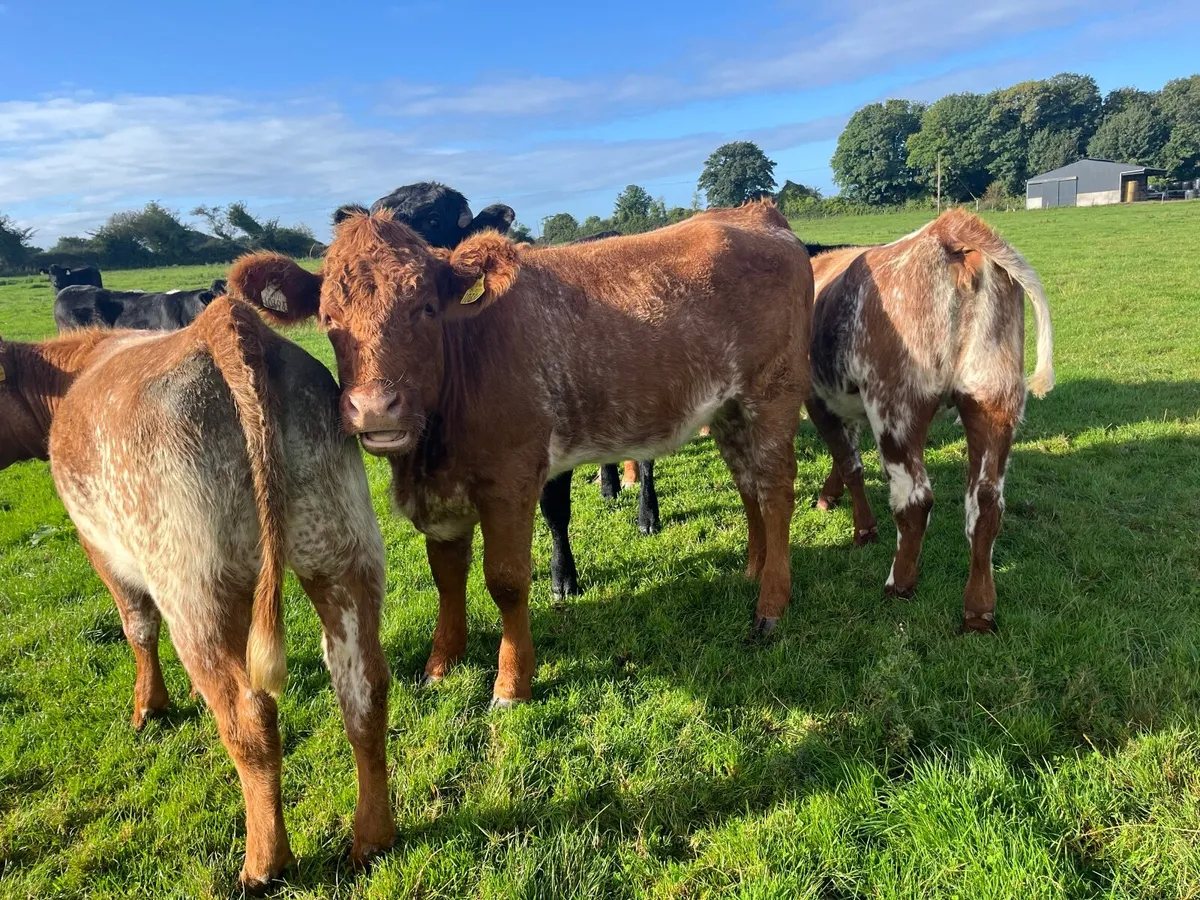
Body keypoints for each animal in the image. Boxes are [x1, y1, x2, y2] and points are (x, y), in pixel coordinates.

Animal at [0, 297, 395, 888]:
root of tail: (223, 324)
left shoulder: (101, 548)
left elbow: (137, 627)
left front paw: (150, 706)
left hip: (193, 585)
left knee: (249, 717)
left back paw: (263, 864)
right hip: (343, 552)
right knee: (363, 687)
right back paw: (372, 839)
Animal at [228, 200, 813, 706]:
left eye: (426, 308)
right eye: (329, 318)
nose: (375, 408)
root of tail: (755, 212)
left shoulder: (510, 480)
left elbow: (506, 582)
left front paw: (510, 684)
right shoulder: (441, 500)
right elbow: (447, 577)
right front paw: (440, 664)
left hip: (775, 393)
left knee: (777, 489)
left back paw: (772, 604)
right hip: (729, 408)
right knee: (748, 484)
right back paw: (753, 570)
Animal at [805, 209, 1055, 633]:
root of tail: (945, 231)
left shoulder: (817, 398)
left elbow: (849, 463)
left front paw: (863, 528)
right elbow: (846, 456)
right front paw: (830, 494)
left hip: (896, 409)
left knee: (915, 500)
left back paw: (899, 584)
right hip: (993, 398)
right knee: (986, 504)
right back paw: (978, 610)